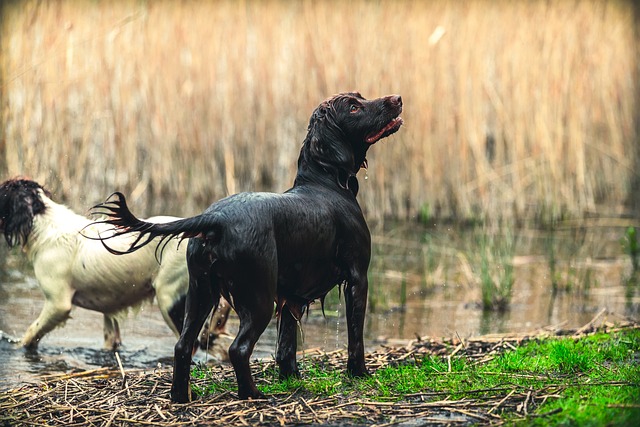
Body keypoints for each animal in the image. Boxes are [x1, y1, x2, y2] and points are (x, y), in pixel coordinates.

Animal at [92, 92, 402, 402]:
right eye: (354, 107)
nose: (397, 99)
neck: (326, 182)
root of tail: (215, 218)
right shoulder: (357, 278)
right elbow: (355, 337)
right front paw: (359, 374)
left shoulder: (291, 295)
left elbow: (286, 346)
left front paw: (292, 379)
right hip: (257, 297)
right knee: (238, 349)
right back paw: (253, 394)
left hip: (200, 292)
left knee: (183, 346)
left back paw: (182, 396)